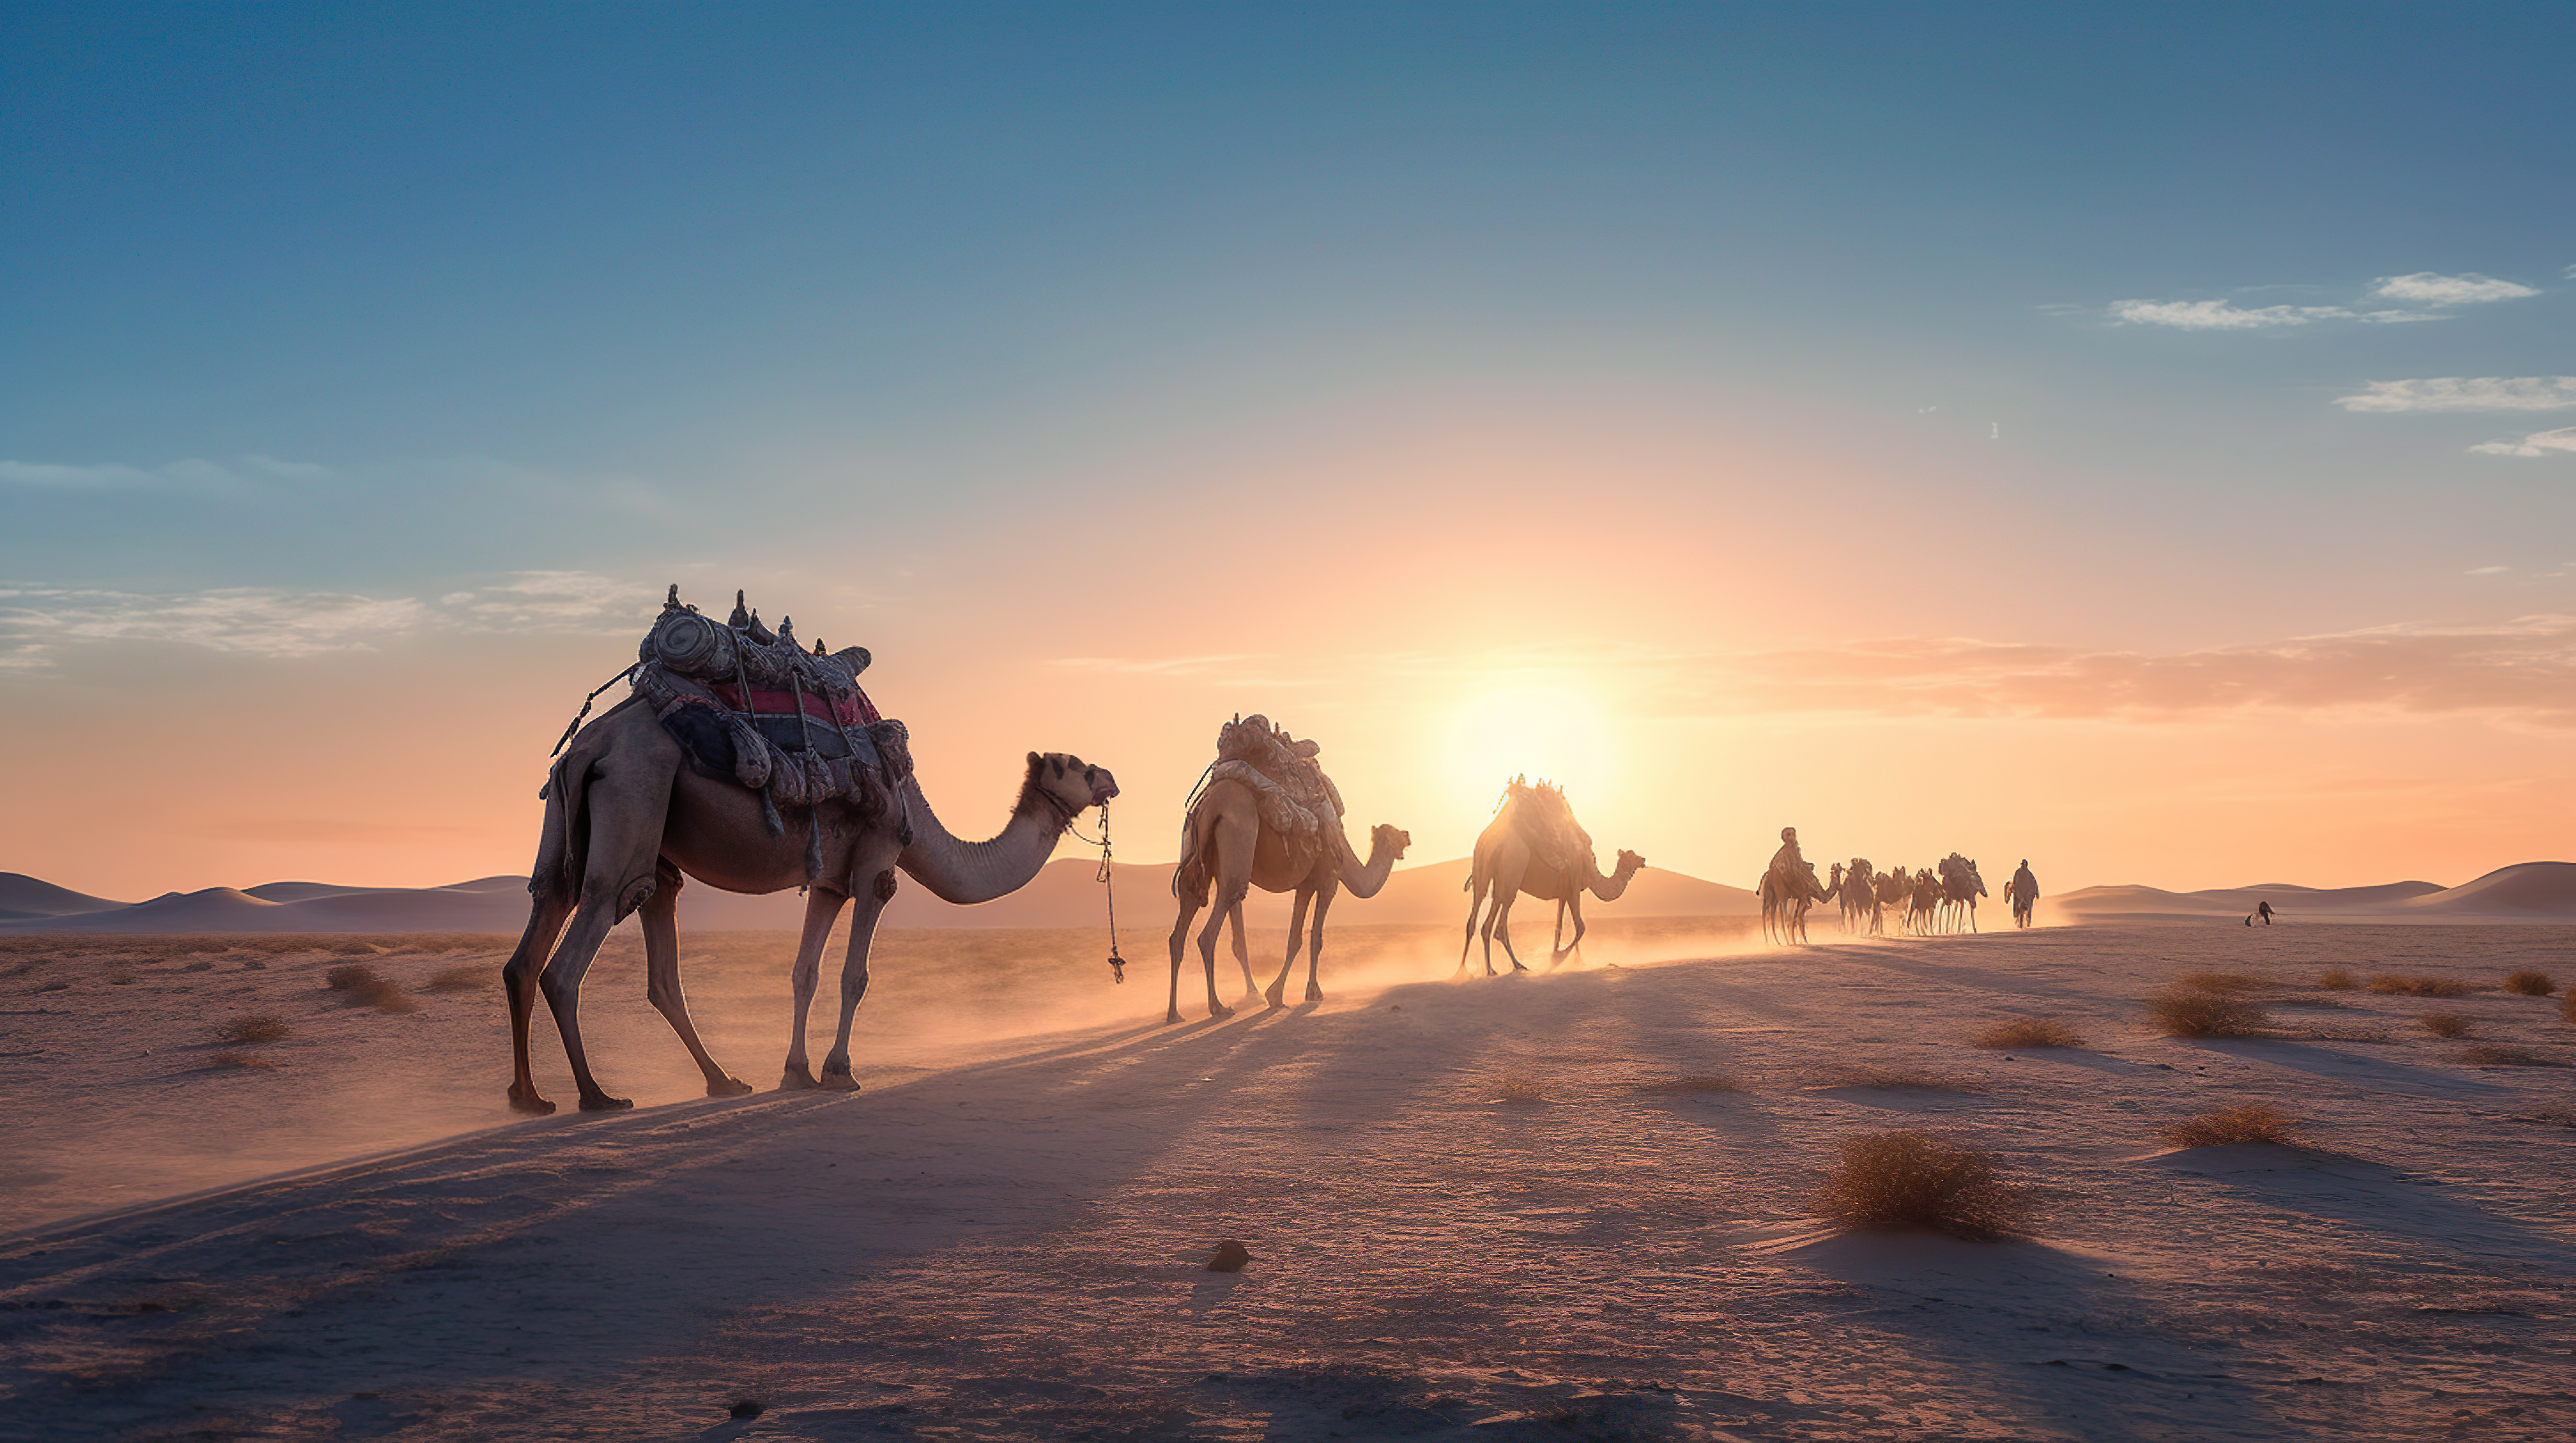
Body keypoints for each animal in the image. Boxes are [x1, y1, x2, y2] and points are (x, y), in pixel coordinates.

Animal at [500, 701, 1108, 1118]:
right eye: (1075, 764)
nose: (1112, 778)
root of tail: (588, 746)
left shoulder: (829, 882)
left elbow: (804, 972)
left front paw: (796, 1072)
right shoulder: (877, 859)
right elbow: (854, 974)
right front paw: (839, 1071)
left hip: (573, 823)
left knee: (545, 936)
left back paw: (540, 1095)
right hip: (633, 792)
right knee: (582, 940)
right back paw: (596, 1094)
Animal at [1169, 778, 1411, 1026]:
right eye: (1397, 835)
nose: (1408, 836)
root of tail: (1211, 804)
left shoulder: (1305, 886)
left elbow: (1295, 939)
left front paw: (1276, 995)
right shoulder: (1328, 882)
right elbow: (1315, 938)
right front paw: (1310, 993)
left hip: (1197, 855)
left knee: (1183, 923)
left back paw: (1175, 1013)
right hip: (1239, 833)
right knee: (1212, 926)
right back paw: (1218, 1007)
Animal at [1463, 783, 1638, 974]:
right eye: (1633, 857)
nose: (1643, 860)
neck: (1591, 871)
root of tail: (1491, 839)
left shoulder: (1564, 893)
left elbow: (1559, 928)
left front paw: (1574, 960)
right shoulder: (1574, 887)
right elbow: (1581, 927)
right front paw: (1558, 958)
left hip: (1484, 870)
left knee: (1475, 918)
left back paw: (1466, 971)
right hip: (1513, 868)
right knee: (1497, 923)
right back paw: (1508, 967)